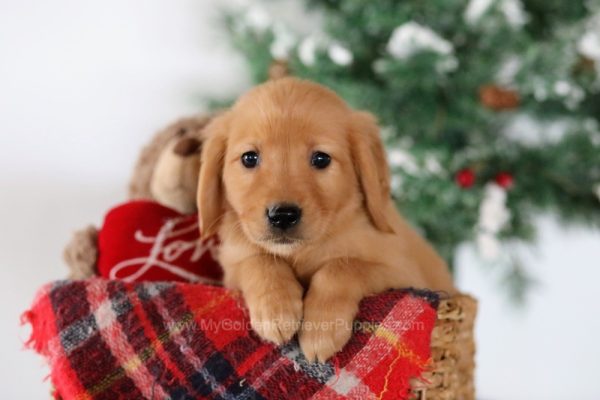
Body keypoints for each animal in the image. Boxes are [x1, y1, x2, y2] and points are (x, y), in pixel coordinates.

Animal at [198, 76, 454, 360]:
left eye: (321, 158)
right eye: (249, 158)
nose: (282, 216)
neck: (302, 252)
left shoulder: (404, 273)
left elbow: (343, 266)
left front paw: (322, 329)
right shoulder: (232, 266)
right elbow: (259, 260)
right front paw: (275, 310)